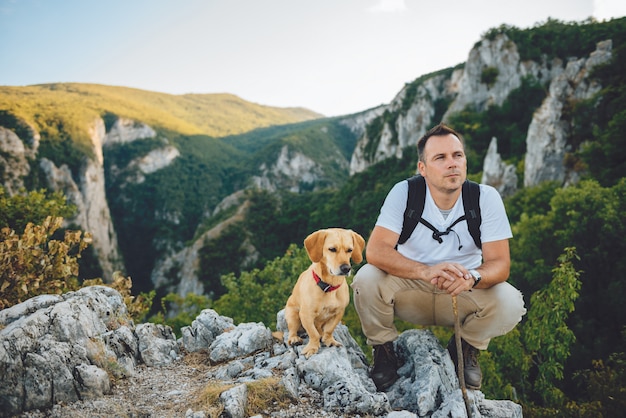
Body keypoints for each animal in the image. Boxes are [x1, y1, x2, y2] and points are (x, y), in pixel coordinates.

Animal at [284, 227, 366, 358]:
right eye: (332, 249)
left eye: (350, 250)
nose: (346, 268)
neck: (329, 286)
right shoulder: (306, 315)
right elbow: (313, 333)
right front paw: (313, 347)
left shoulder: (338, 313)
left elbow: (329, 330)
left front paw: (329, 340)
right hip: (293, 315)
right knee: (292, 330)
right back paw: (294, 339)